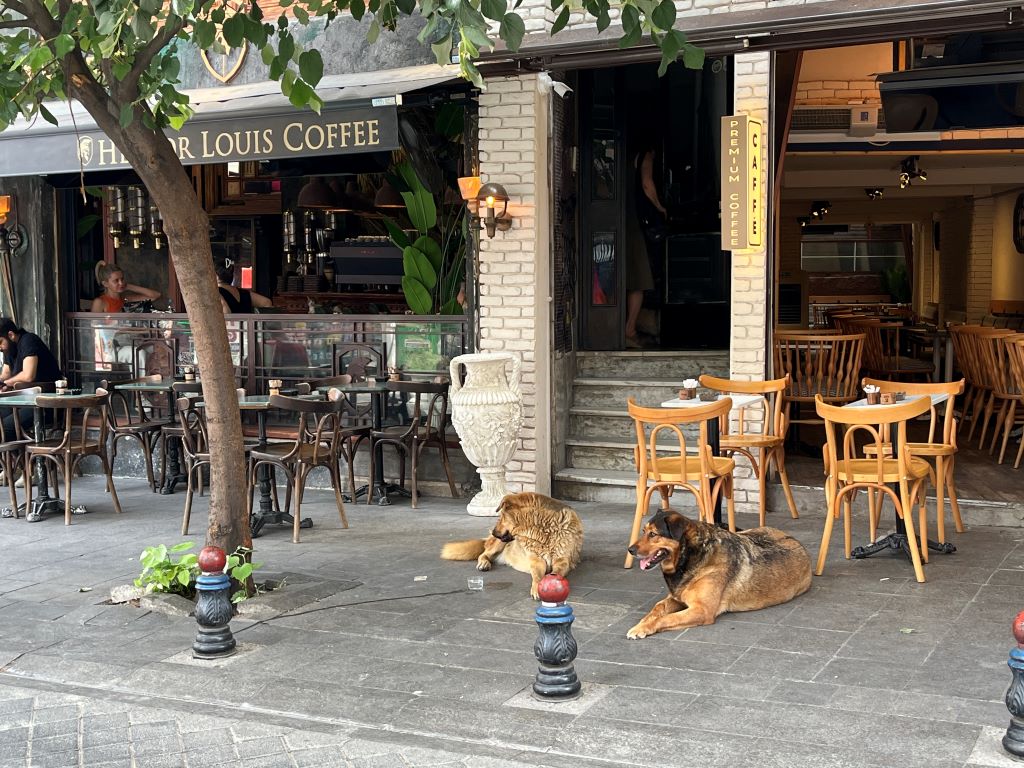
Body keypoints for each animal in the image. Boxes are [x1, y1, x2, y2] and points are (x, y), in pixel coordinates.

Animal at [440, 493, 585, 602]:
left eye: (501, 516)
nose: (494, 532)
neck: (544, 531)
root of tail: (488, 538)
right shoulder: (536, 561)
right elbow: (537, 576)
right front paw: (537, 587)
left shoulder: (562, 560)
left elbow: (557, 573)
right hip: (499, 543)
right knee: (483, 554)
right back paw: (484, 563)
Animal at [622, 507, 806, 638]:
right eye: (643, 531)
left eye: (653, 534)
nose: (630, 550)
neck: (691, 556)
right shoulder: (677, 597)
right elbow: (657, 608)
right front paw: (642, 624)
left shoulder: (702, 610)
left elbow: (667, 618)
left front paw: (644, 627)